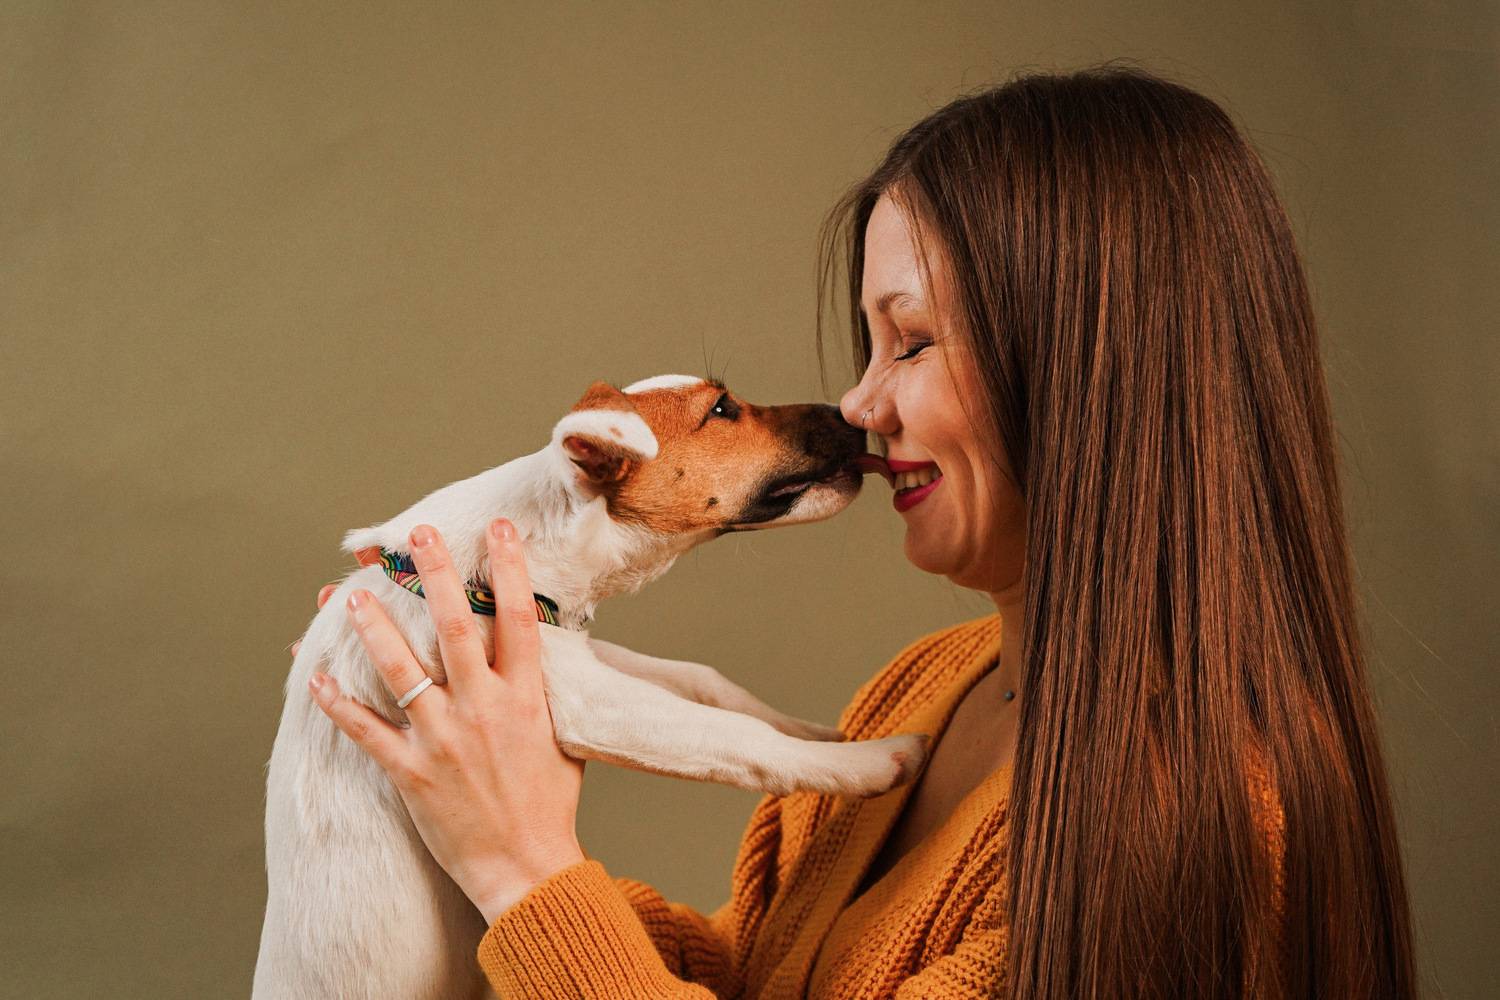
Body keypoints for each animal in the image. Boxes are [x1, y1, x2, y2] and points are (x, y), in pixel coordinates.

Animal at [253, 375, 925, 999]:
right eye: (721, 409)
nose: (852, 411)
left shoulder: (578, 651)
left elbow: (704, 681)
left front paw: (823, 732)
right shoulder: (586, 697)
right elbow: (741, 738)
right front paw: (875, 760)